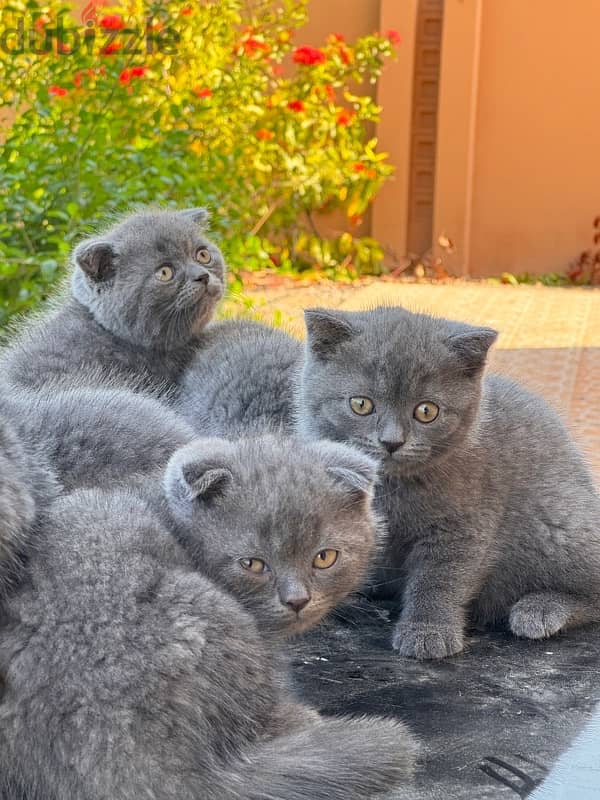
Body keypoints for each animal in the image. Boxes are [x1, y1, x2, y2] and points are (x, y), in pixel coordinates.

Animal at [298, 304, 600, 660]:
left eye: (427, 411)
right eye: (361, 404)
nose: (391, 442)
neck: (391, 486)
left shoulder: (462, 526)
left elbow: (439, 579)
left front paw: (428, 632)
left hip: (558, 523)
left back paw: (542, 609)